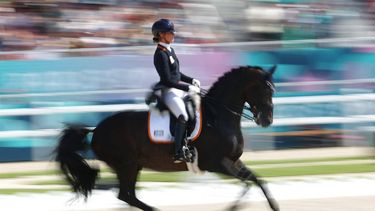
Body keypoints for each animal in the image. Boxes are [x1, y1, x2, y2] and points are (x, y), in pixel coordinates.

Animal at [55, 65, 280, 210]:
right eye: (264, 89)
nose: (267, 120)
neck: (218, 116)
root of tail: (96, 130)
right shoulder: (217, 163)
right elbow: (248, 183)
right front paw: (232, 208)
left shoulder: (234, 160)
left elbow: (258, 180)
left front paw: (274, 205)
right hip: (126, 165)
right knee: (126, 195)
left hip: (133, 166)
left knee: (128, 196)